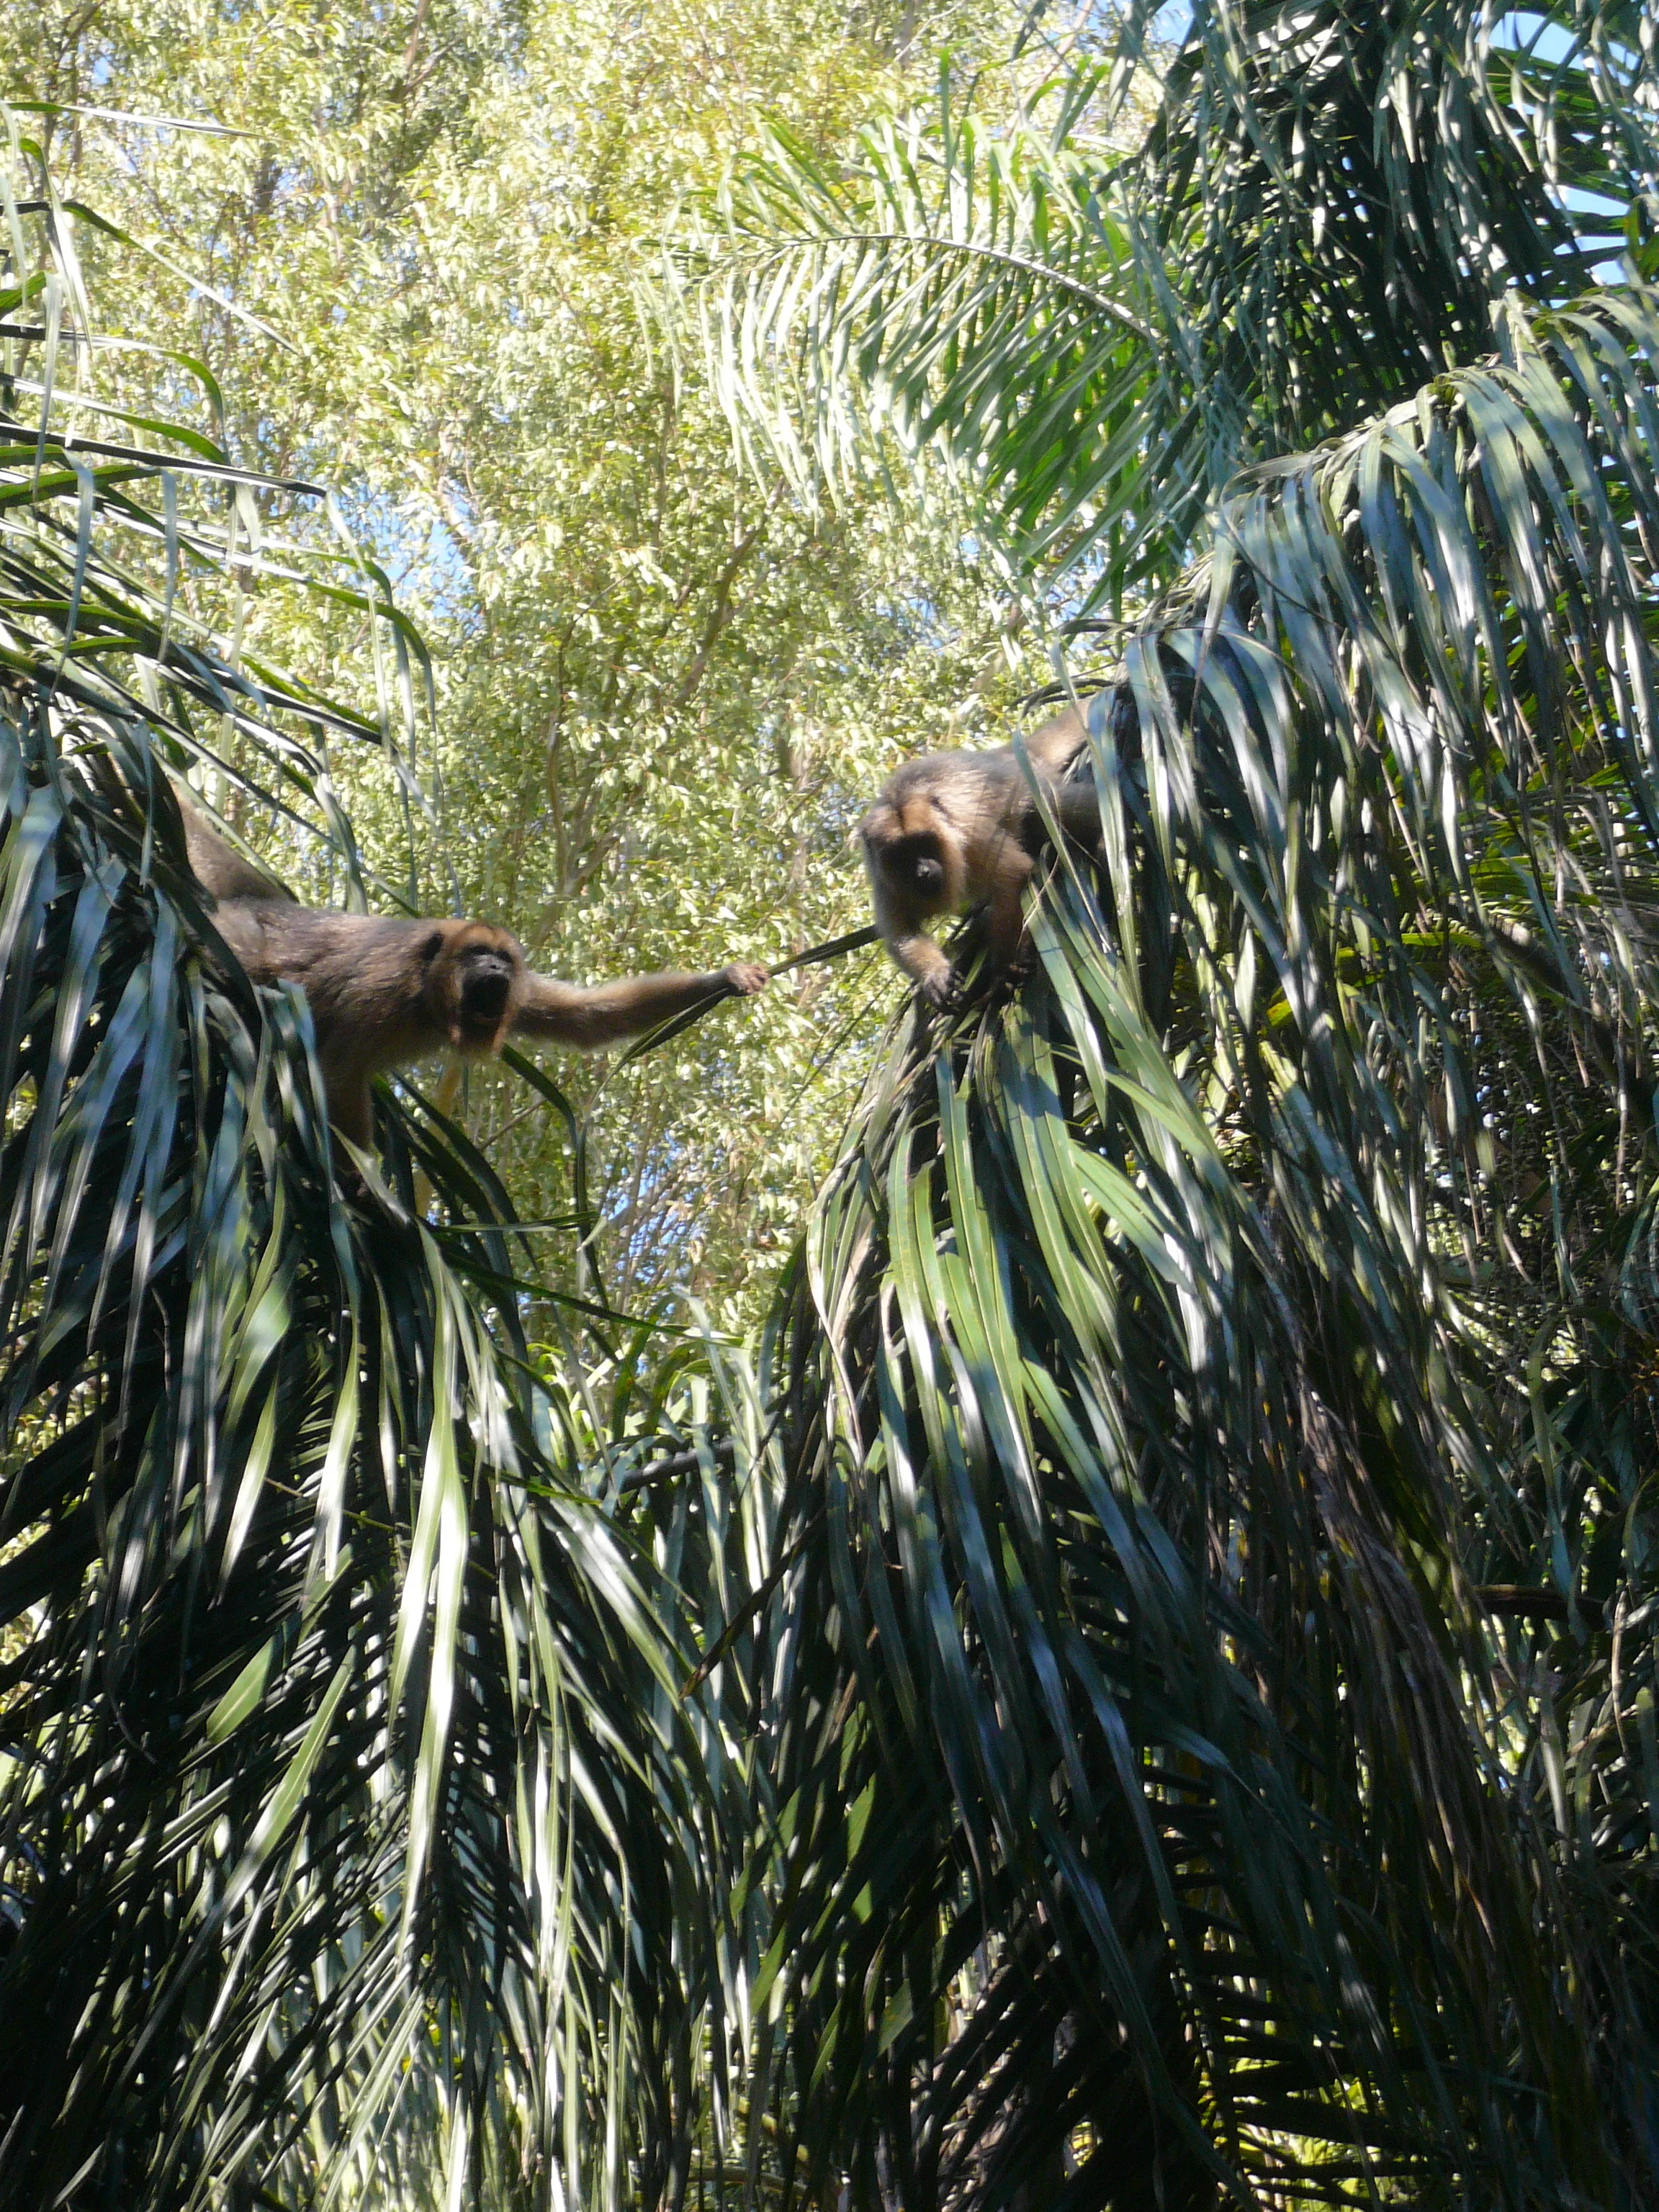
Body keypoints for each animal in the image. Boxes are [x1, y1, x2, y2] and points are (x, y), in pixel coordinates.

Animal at [176, 795, 769, 1149]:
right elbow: (339, 1068)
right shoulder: (382, 990)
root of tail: (261, 902)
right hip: (238, 932)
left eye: (502, 958)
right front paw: (370, 1193)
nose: (492, 965)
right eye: (476, 953)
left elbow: (589, 1019)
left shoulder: (519, 993)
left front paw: (724, 978)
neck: (428, 1000)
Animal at [858, 706, 1098, 1009]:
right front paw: (935, 975)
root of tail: (1002, 754)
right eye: (901, 855)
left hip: (1030, 781)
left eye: (924, 843)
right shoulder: (882, 880)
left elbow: (1012, 876)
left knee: (1053, 808)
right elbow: (902, 933)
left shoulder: (975, 837)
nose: (922, 871)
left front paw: (1006, 968)